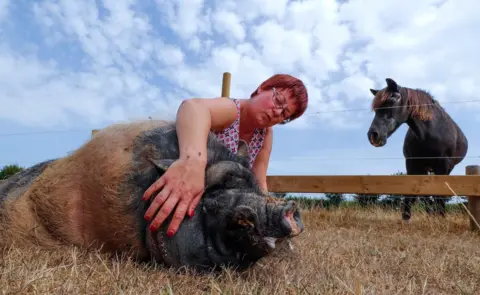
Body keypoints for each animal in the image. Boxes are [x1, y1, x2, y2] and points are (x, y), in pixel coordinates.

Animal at [368, 78, 468, 222]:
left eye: (391, 100)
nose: (373, 135)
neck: (428, 133)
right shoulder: (412, 164)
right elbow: (414, 192)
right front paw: (406, 217)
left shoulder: (443, 164)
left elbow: (440, 194)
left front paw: (441, 217)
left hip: (446, 168)